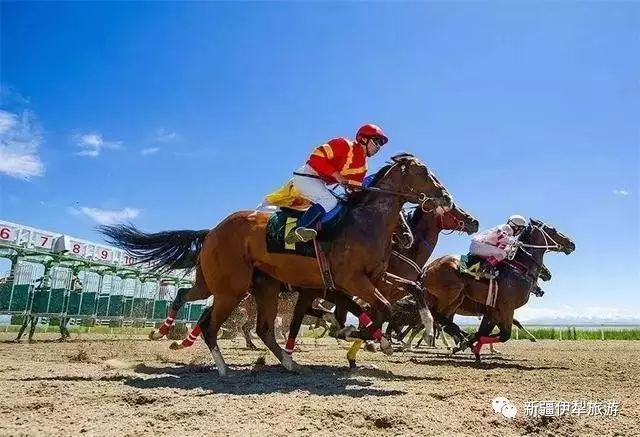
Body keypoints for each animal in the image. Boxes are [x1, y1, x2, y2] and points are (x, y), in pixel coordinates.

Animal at [101, 154, 450, 374]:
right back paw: (220, 366)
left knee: (220, 310)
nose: (445, 196)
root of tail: (212, 230)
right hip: (231, 288)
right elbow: (381, 310)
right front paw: (360, 334)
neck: (363, 223)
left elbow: (413, 289)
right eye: (424, 172)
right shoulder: (350, 281)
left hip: (237, 284)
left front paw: (424, 326)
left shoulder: (374, 277)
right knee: (212, 325)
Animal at [424, 218, 576, 362]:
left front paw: (473, 346)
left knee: (441, 319)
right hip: (450, 295)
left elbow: (483, 332)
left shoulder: (495, 311)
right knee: (437, 317)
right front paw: (472, 345)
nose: (571, 243)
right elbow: (504, 335)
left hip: (455, 300)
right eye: (553, 230)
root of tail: (428, 268)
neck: (519, 268)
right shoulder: (506, 307)